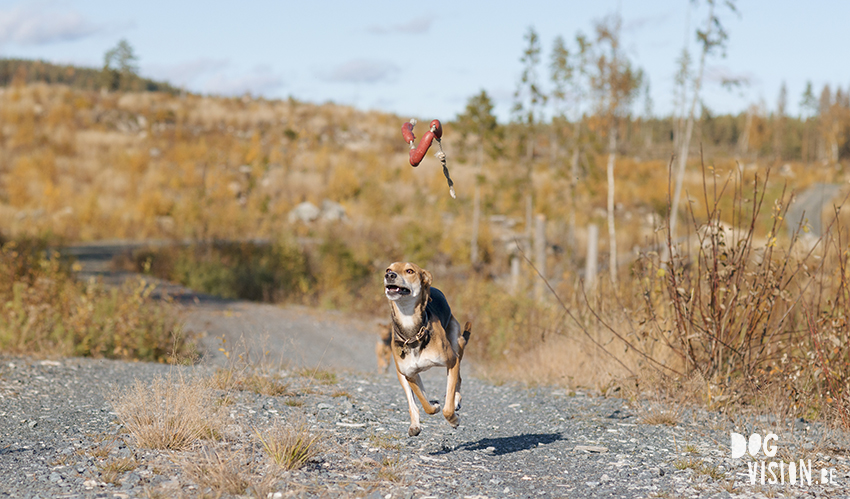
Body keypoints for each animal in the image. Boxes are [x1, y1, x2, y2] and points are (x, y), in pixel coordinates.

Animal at [382, 264, 470, 436]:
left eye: (410, 271)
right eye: (388, 269)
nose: (389, 275)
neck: (412, 332)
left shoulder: (452, 361)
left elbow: (447, 408)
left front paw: (453, 419)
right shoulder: (410, 375)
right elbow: (424, 404)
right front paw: (434, 405)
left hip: (457, 345)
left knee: (457, 382)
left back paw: (456, 401)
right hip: (401, 374)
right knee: (412, 403)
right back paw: (415, 425)